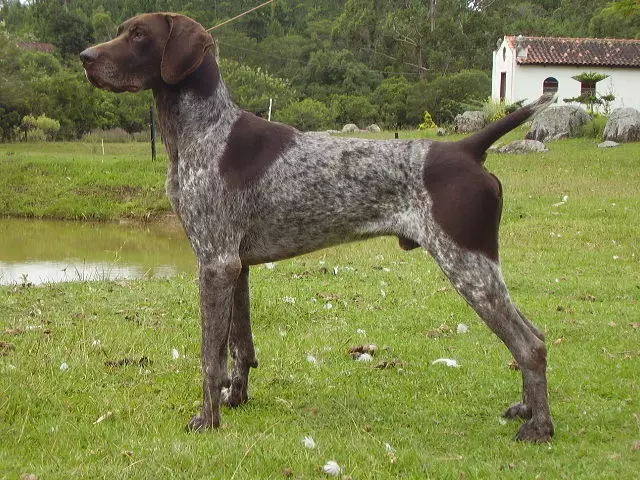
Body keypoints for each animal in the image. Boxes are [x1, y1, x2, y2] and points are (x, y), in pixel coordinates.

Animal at [80, 12, 554, 442]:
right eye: (122, 30)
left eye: (138, 34)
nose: (85, 57)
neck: (203, 131)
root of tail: (468, 148)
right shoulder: (236, 266)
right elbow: (240, 346)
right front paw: (236, 400)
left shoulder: (214, 263)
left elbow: (211, 356)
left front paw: (207, 419)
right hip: (479, 269)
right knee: (536, 333)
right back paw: (527, 409)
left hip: (467, 265)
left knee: (530, 345)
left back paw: (540, 427)